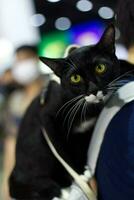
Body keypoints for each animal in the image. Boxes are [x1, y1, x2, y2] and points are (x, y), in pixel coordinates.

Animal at [9, 25, 134, 200]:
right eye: (75, 78)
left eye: (100, 68)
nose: (93, 90)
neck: (89, 109)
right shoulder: (47, 118)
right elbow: (61, 149)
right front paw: (80, 174)